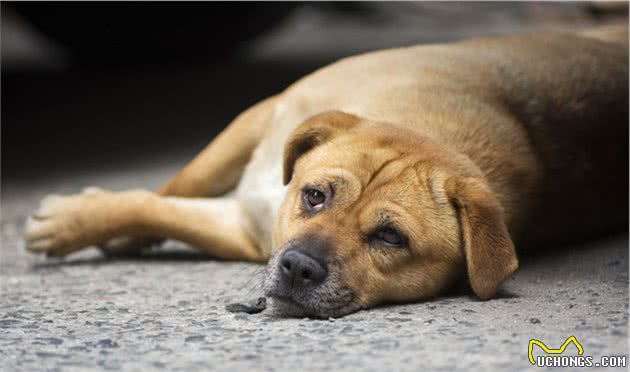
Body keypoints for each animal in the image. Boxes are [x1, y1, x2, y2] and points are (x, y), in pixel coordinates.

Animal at [22, 26, 628, 316]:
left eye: (391, 237)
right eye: (314, 196)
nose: (297, 267)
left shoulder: (245, 231)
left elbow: (166, 209)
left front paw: (83, 223)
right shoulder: (260, 118)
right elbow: (174, 188)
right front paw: (94, 223)